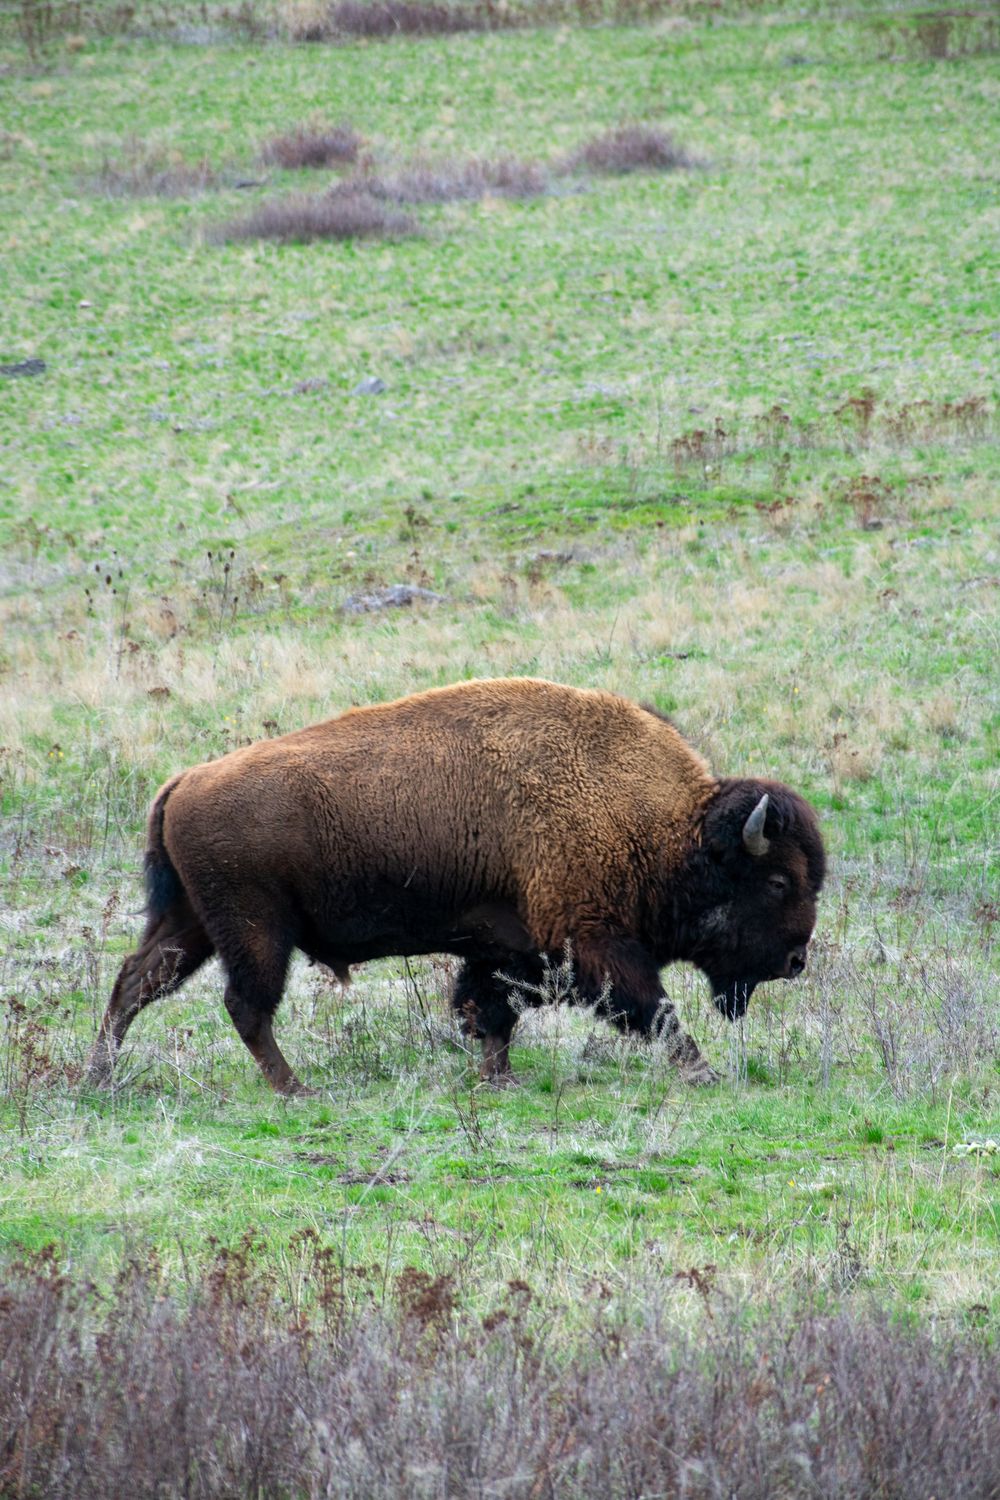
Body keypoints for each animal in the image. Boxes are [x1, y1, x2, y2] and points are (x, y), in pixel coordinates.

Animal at [86, 678, 825, 1093]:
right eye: (779, 880)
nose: (796, 961)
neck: (663, 826)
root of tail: (184, 780)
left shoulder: (507, 948)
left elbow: (487, 1010)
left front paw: (499, 1078)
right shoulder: (593, 943)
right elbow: (652, 1006)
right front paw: (699, 1070)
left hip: (193, 923)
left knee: (136, 982)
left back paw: (100, 1076)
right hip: (256, 930)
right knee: (245, 1006)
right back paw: (294, 1089)